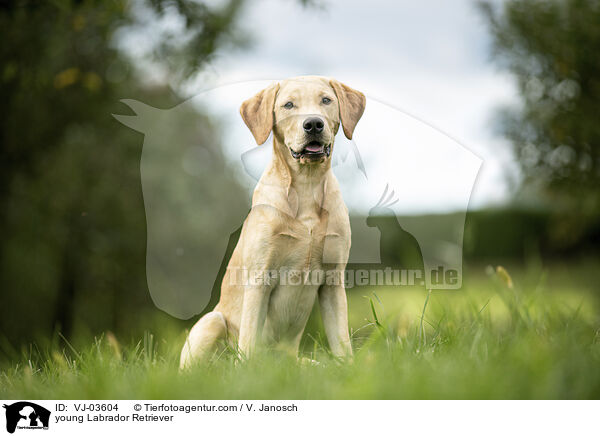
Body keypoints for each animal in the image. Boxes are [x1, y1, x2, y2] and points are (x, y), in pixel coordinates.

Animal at [178, 76, 366, 368]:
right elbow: (248, 342)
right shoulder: (259, 278)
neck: (307, 187)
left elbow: (342, 344)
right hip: (212, 321)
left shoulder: (333, 281)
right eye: (288, 105)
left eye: (326, 100)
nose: (313, 124)